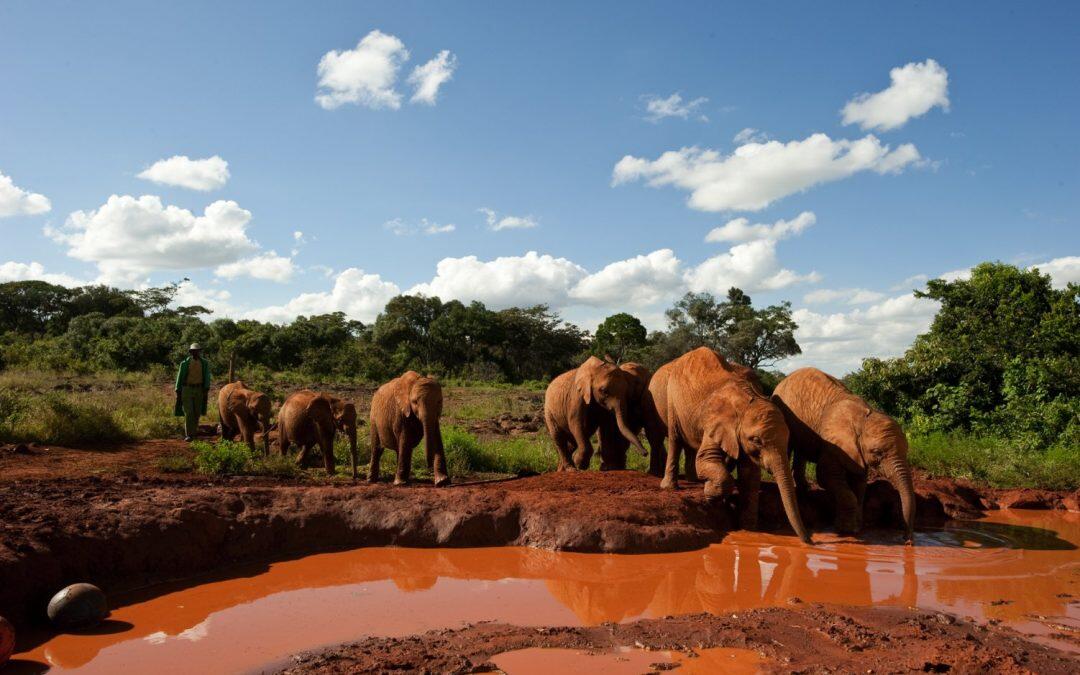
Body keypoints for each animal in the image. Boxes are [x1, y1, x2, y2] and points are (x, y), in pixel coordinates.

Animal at [648, 347, 812, 542]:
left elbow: (750, 474)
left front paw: (749, 529)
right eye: (756, 440)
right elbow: (706, 458)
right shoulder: (716, 421)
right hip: (672, 399)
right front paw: (710, 494)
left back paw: (695, 480)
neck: (747, 400)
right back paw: (671, 486)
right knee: (675, 438)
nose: (811, 542)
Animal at [773, 365, 915, 540]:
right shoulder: (832, 443)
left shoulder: (856, 451)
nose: (907, 539)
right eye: (877, 452)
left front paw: (856, 527)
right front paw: (847, 530)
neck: (863, 418)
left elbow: (859, 482)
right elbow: (826, 476)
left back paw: (804, 488)